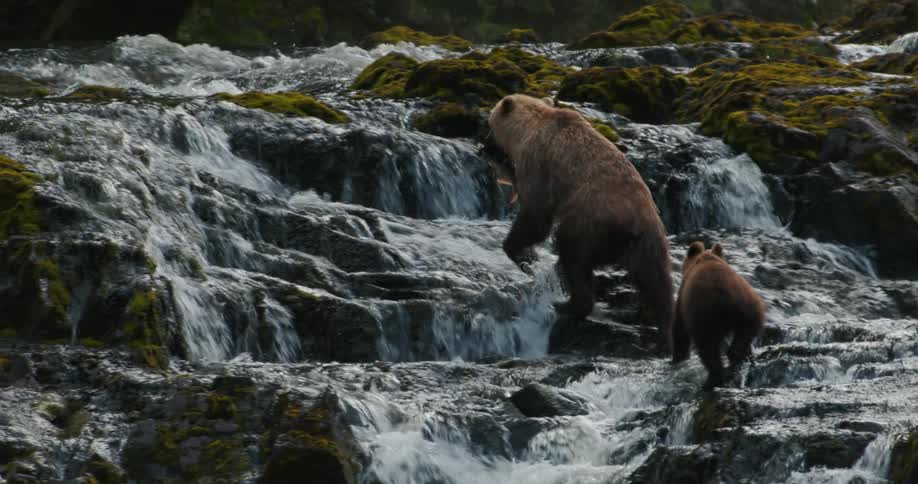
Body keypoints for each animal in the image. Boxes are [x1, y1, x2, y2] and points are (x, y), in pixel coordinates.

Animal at [487, 94, 674, 347]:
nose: (485, 145)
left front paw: (514, 247)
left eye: (489, 124)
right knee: (657, 283)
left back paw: (568, 304)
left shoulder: (538, 163)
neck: (528, 129)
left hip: (589, 223)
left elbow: (536, 214)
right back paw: (662, 328)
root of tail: (635, 226)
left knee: (573, 258)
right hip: (651, 243)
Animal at [672, 241, 766, 390]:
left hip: (704, 317)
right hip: (750, 308)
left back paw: (712, 379)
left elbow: (680, 331)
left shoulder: (682, 300)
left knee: (708, 350)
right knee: (744, 337)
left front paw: (677, 358)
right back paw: (742, 360)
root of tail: (727, 299)